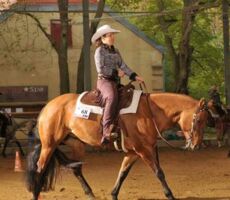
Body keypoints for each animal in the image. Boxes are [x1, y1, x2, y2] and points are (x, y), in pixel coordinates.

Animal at [26, 84, 217, 200]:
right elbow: (159, 172)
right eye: (200, 120)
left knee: (76, 169)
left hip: (76, 144)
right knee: (40, 168)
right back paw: (35, 194)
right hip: (49, 144)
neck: (150, 112)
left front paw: (114, 194)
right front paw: (170, 194)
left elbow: (123, 173)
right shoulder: (143, 150)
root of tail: (47, 107)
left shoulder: (134, 152)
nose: (197, 145)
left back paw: (90, 193)